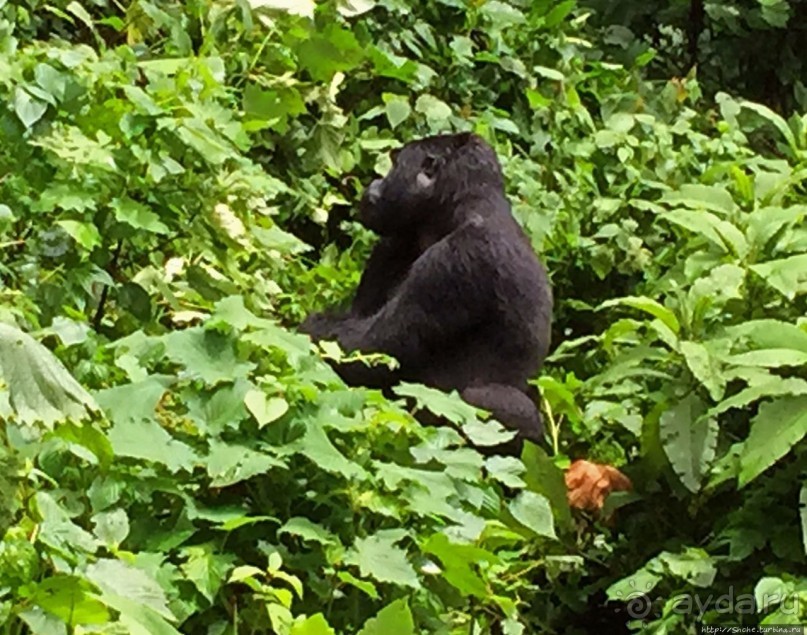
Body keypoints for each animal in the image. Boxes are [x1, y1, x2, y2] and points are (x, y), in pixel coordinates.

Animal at [300, 133, 552, 452]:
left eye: (395, 164)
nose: (375, 182)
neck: (460, 209)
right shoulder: (396, 238)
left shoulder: (457, 258)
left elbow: (375, 349)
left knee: (487, 400)